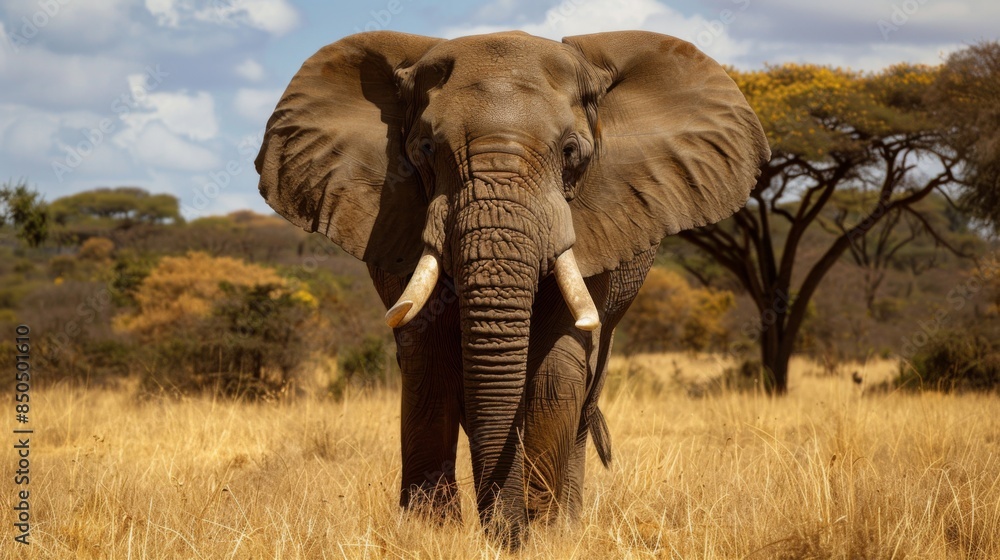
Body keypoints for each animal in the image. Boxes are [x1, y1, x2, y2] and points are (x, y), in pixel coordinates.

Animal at [255, 29, 769, 545]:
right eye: (425, 149)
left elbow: (556, 363)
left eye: (571, 152)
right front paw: (430, 533)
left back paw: (565, 520)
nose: (506, 536)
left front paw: (544, 535)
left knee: (585, 388)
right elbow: (427, 356)